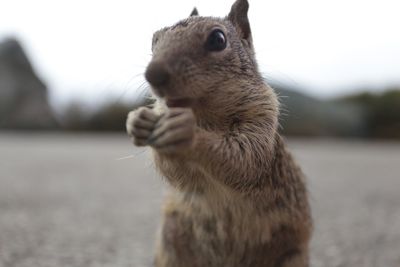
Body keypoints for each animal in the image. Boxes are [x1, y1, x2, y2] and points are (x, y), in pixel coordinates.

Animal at [126, 1, 310, 266]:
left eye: (218, 39)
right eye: (154, 39)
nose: (153, 74)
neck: (203, 114)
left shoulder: (261, 118)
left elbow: (244, 160)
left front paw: (188, 132)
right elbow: (178, 175)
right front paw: (137, 120)